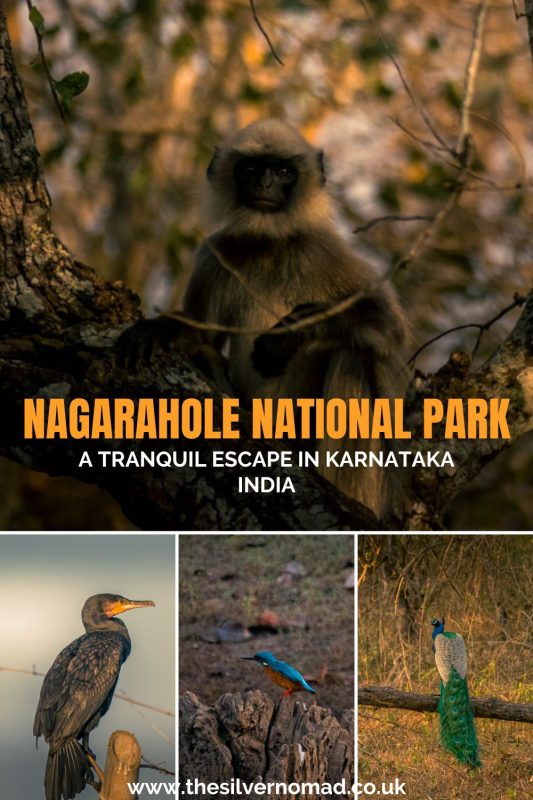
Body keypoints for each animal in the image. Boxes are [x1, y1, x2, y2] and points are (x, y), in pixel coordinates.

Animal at [183, 118, 408, 519]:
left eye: (284, 171)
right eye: (251, 168)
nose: (265, 184)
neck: (269, 244)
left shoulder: (321, 248)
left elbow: (386, 324)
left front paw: (287, 335)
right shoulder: (215, 253)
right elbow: (200, 341)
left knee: (354, 356)